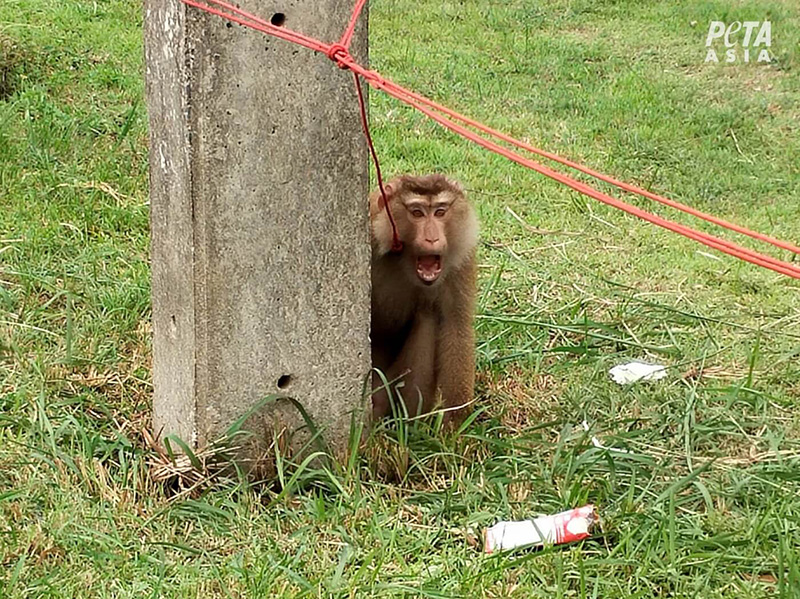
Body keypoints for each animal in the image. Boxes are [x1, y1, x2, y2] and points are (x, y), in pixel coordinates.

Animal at [370, 173, 478, 426]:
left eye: (440, 212)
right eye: (417, 213)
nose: (432, 238)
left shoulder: (461, 261)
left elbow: (455, 326)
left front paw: (456, 427)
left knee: (427, 317)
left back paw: (409, 424)